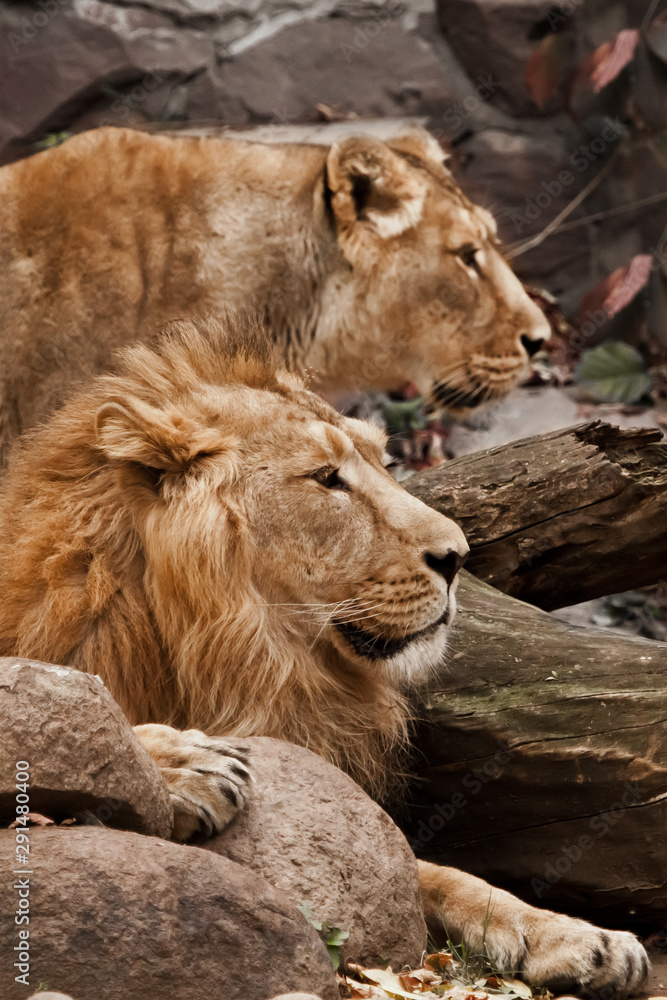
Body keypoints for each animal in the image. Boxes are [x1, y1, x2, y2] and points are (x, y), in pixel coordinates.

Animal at [0, 315, 646, 997]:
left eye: (384, 462)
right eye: (327, 478)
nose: (458, 556)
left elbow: (431, 870)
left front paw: (576, 936)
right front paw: (179, 765)